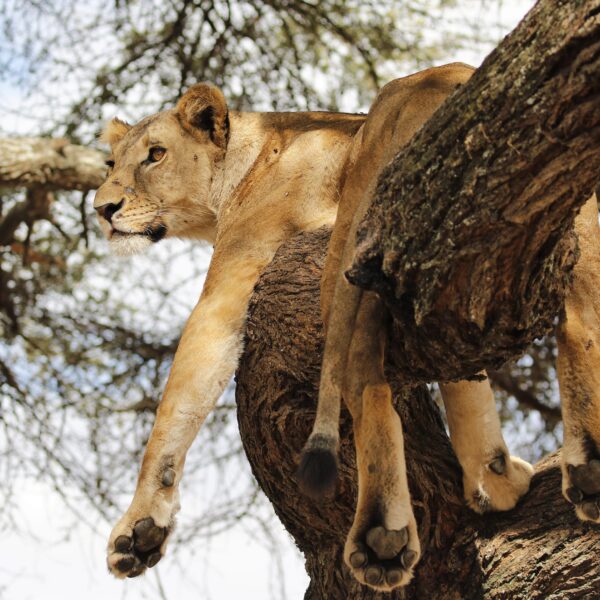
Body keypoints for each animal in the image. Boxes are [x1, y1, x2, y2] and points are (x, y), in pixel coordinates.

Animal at [94, 63, 600, 591]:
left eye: (155, 154)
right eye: (110, 165)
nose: (101, 209)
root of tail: (440, 81)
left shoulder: (233, 279)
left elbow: (176, 404)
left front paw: (139, 522)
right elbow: (466, 381)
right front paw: (492, 474)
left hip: (344, 244)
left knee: (361, 379)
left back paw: (382, 534)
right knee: (580, 319)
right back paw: (587, 468)